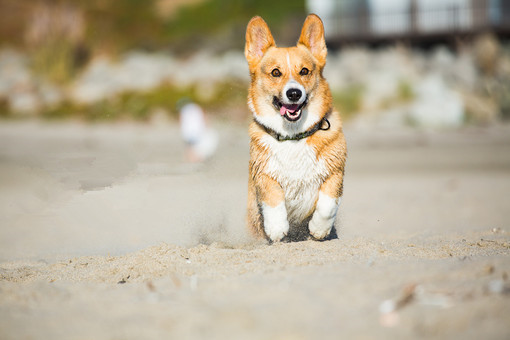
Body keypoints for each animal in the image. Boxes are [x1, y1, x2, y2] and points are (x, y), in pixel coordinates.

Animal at [243, 13, 346, 242]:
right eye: (275, 73)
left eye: (304, 71)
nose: (294, 93)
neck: (293, 136)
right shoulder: (264, 174)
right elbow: (273, 199)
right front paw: (276, 228)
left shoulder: (335, 172)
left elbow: (328, 204)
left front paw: (319, 229)